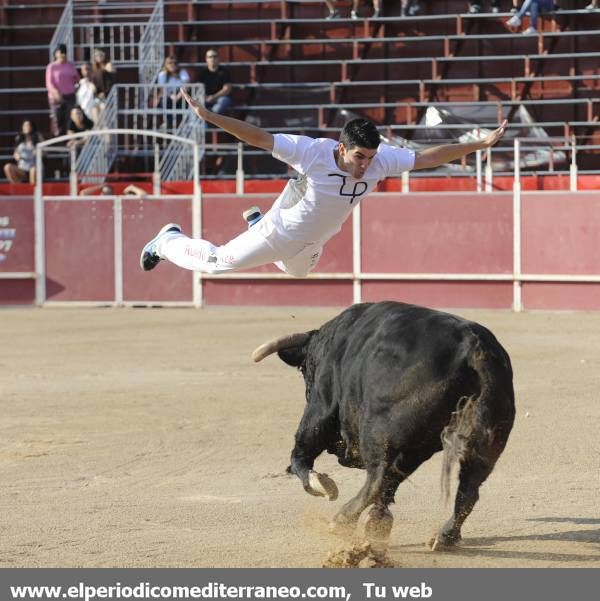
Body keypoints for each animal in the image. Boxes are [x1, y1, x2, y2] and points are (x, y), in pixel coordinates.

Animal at [253, 300, 516, 548]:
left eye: (306, 370)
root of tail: (474, 348)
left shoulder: (322, 405)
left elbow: (301, 453)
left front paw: (323, 484)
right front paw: (378, 522)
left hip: (377, 430)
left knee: (377, 477)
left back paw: (342, 520)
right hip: (478, 442)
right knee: (467, 488)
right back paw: (443, 536)